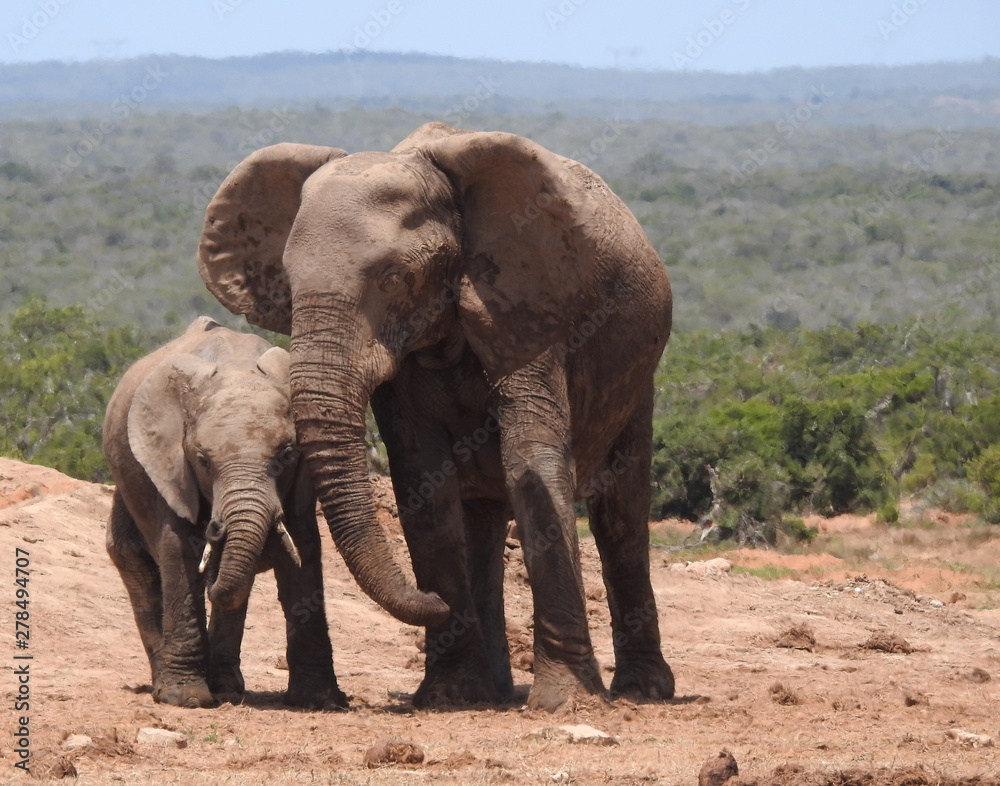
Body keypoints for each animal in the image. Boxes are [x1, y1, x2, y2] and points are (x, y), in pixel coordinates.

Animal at [103, 316, 346, 709]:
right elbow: (178, 549)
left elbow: (304, 546)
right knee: (130, 555)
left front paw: (319, 700)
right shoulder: (169, 467)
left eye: (287, 455)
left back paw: (227, 689)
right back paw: (166, 681)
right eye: (203, 461)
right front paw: (183, 698)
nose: (216, 529)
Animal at [196, 122, 675, 711]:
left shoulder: (525, 301)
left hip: (637, 373)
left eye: (394, 279)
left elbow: (532, 466)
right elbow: (424, 483)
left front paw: (564, 702)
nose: (429, 599)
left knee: (621, 513)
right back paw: (494, 692)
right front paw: (450, 696)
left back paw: (643, 690)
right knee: (484, 519)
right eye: (286, 280)